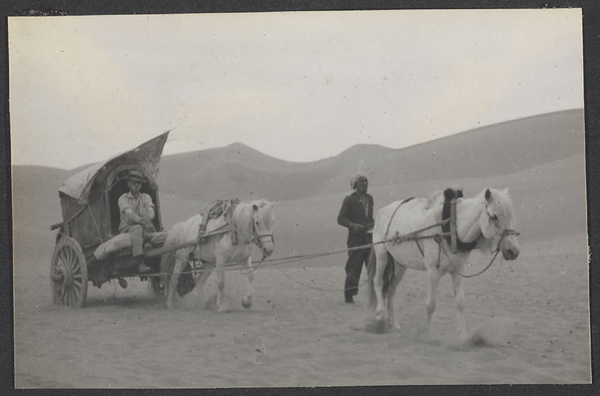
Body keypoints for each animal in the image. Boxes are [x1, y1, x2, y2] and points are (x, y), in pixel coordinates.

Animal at [366, 189, 520, 340]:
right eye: (494, 216)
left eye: (511, 216)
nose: (513, 251)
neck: (451, 228)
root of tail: (382, 211)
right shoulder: (433, 271)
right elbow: (430, 305)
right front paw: (425, 333)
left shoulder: (457, 270)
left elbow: (460, 302)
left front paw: (462, 334)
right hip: (382, 254)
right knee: (378, 281)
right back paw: (380, 315)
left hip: (400, 264)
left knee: (391, 291)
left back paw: (394, 323)